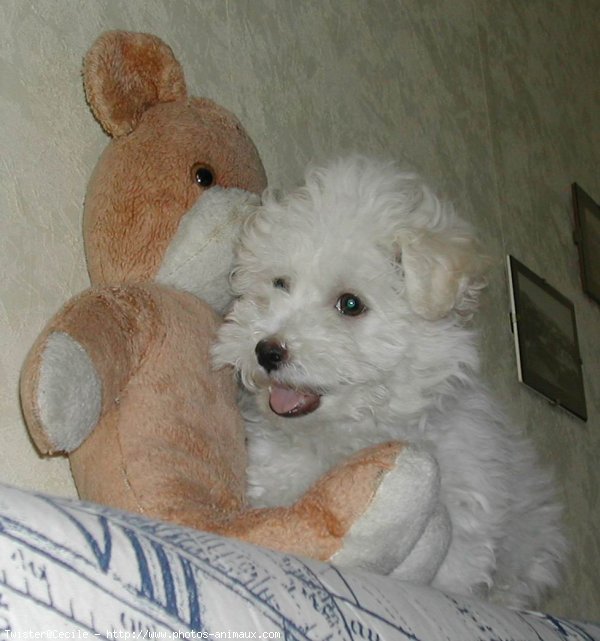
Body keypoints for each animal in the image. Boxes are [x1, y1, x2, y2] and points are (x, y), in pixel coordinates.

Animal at [212, 155, 568, 604]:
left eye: (350, 304)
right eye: (280, 284)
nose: (266, 350)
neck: (351, 435)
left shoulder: (467, 517)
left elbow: (451, 572)